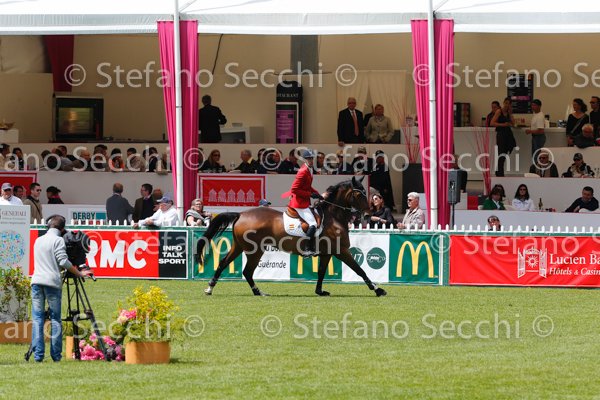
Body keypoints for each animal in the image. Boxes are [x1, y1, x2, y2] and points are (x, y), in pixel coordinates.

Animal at [197, 176, 387, 297]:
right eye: (359, 193)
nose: (368, 214)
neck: (334, 216)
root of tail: (241, 214)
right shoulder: (341, 251)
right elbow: (360, 270)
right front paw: (378, 290)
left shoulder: (327, 253)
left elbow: (321, 272)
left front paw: (319, 292)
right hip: (254, 250)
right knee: (246, 271)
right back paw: (256, 292)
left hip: (240, 246)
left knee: (226, 264)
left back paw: (212, 289)